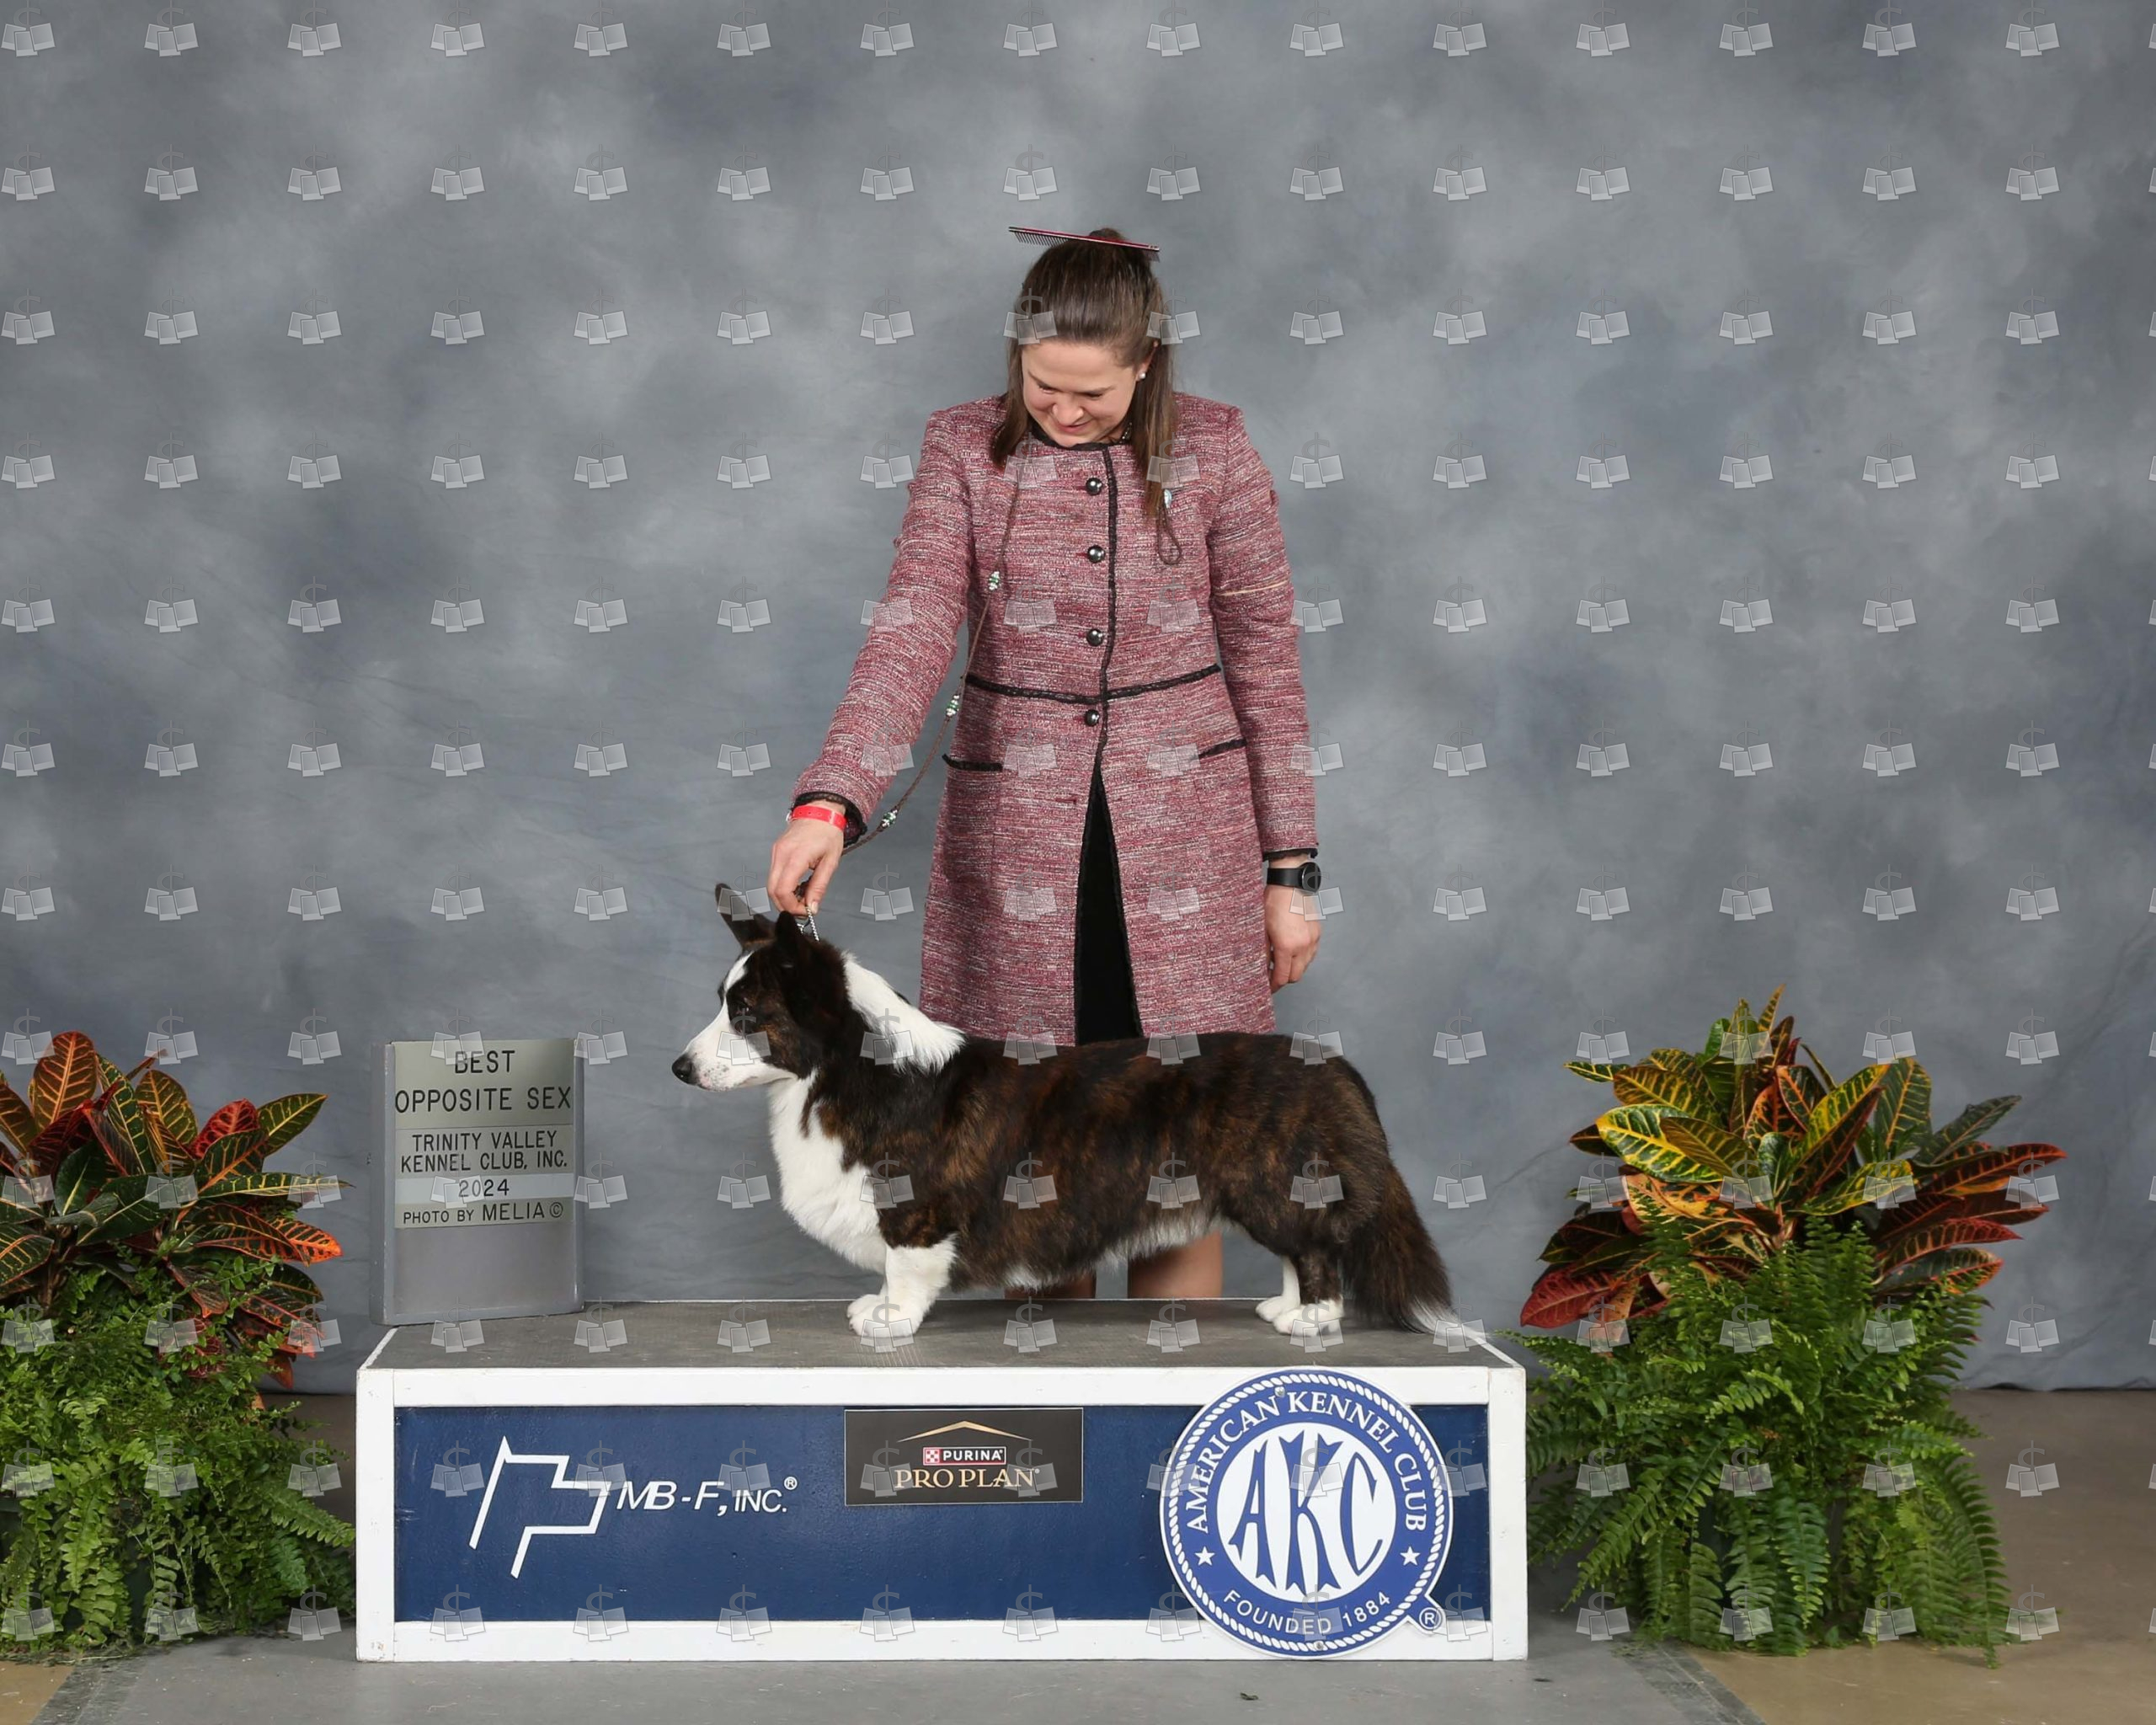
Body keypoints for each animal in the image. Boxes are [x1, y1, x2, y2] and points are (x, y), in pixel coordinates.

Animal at [672, 883, 1455, 1343]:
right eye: (722, 1004)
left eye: (747, 1015)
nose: (679, 1068)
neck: (846, 1068)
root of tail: (1336, 1067)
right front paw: (877, 1308)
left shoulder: (915, 1211)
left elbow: (906, 1266)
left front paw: (890, 1319)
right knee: (1301, 1251)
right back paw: (1284, 1310)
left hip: (1273, 1185)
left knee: (1316, 1252)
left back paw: (1311, 1319)